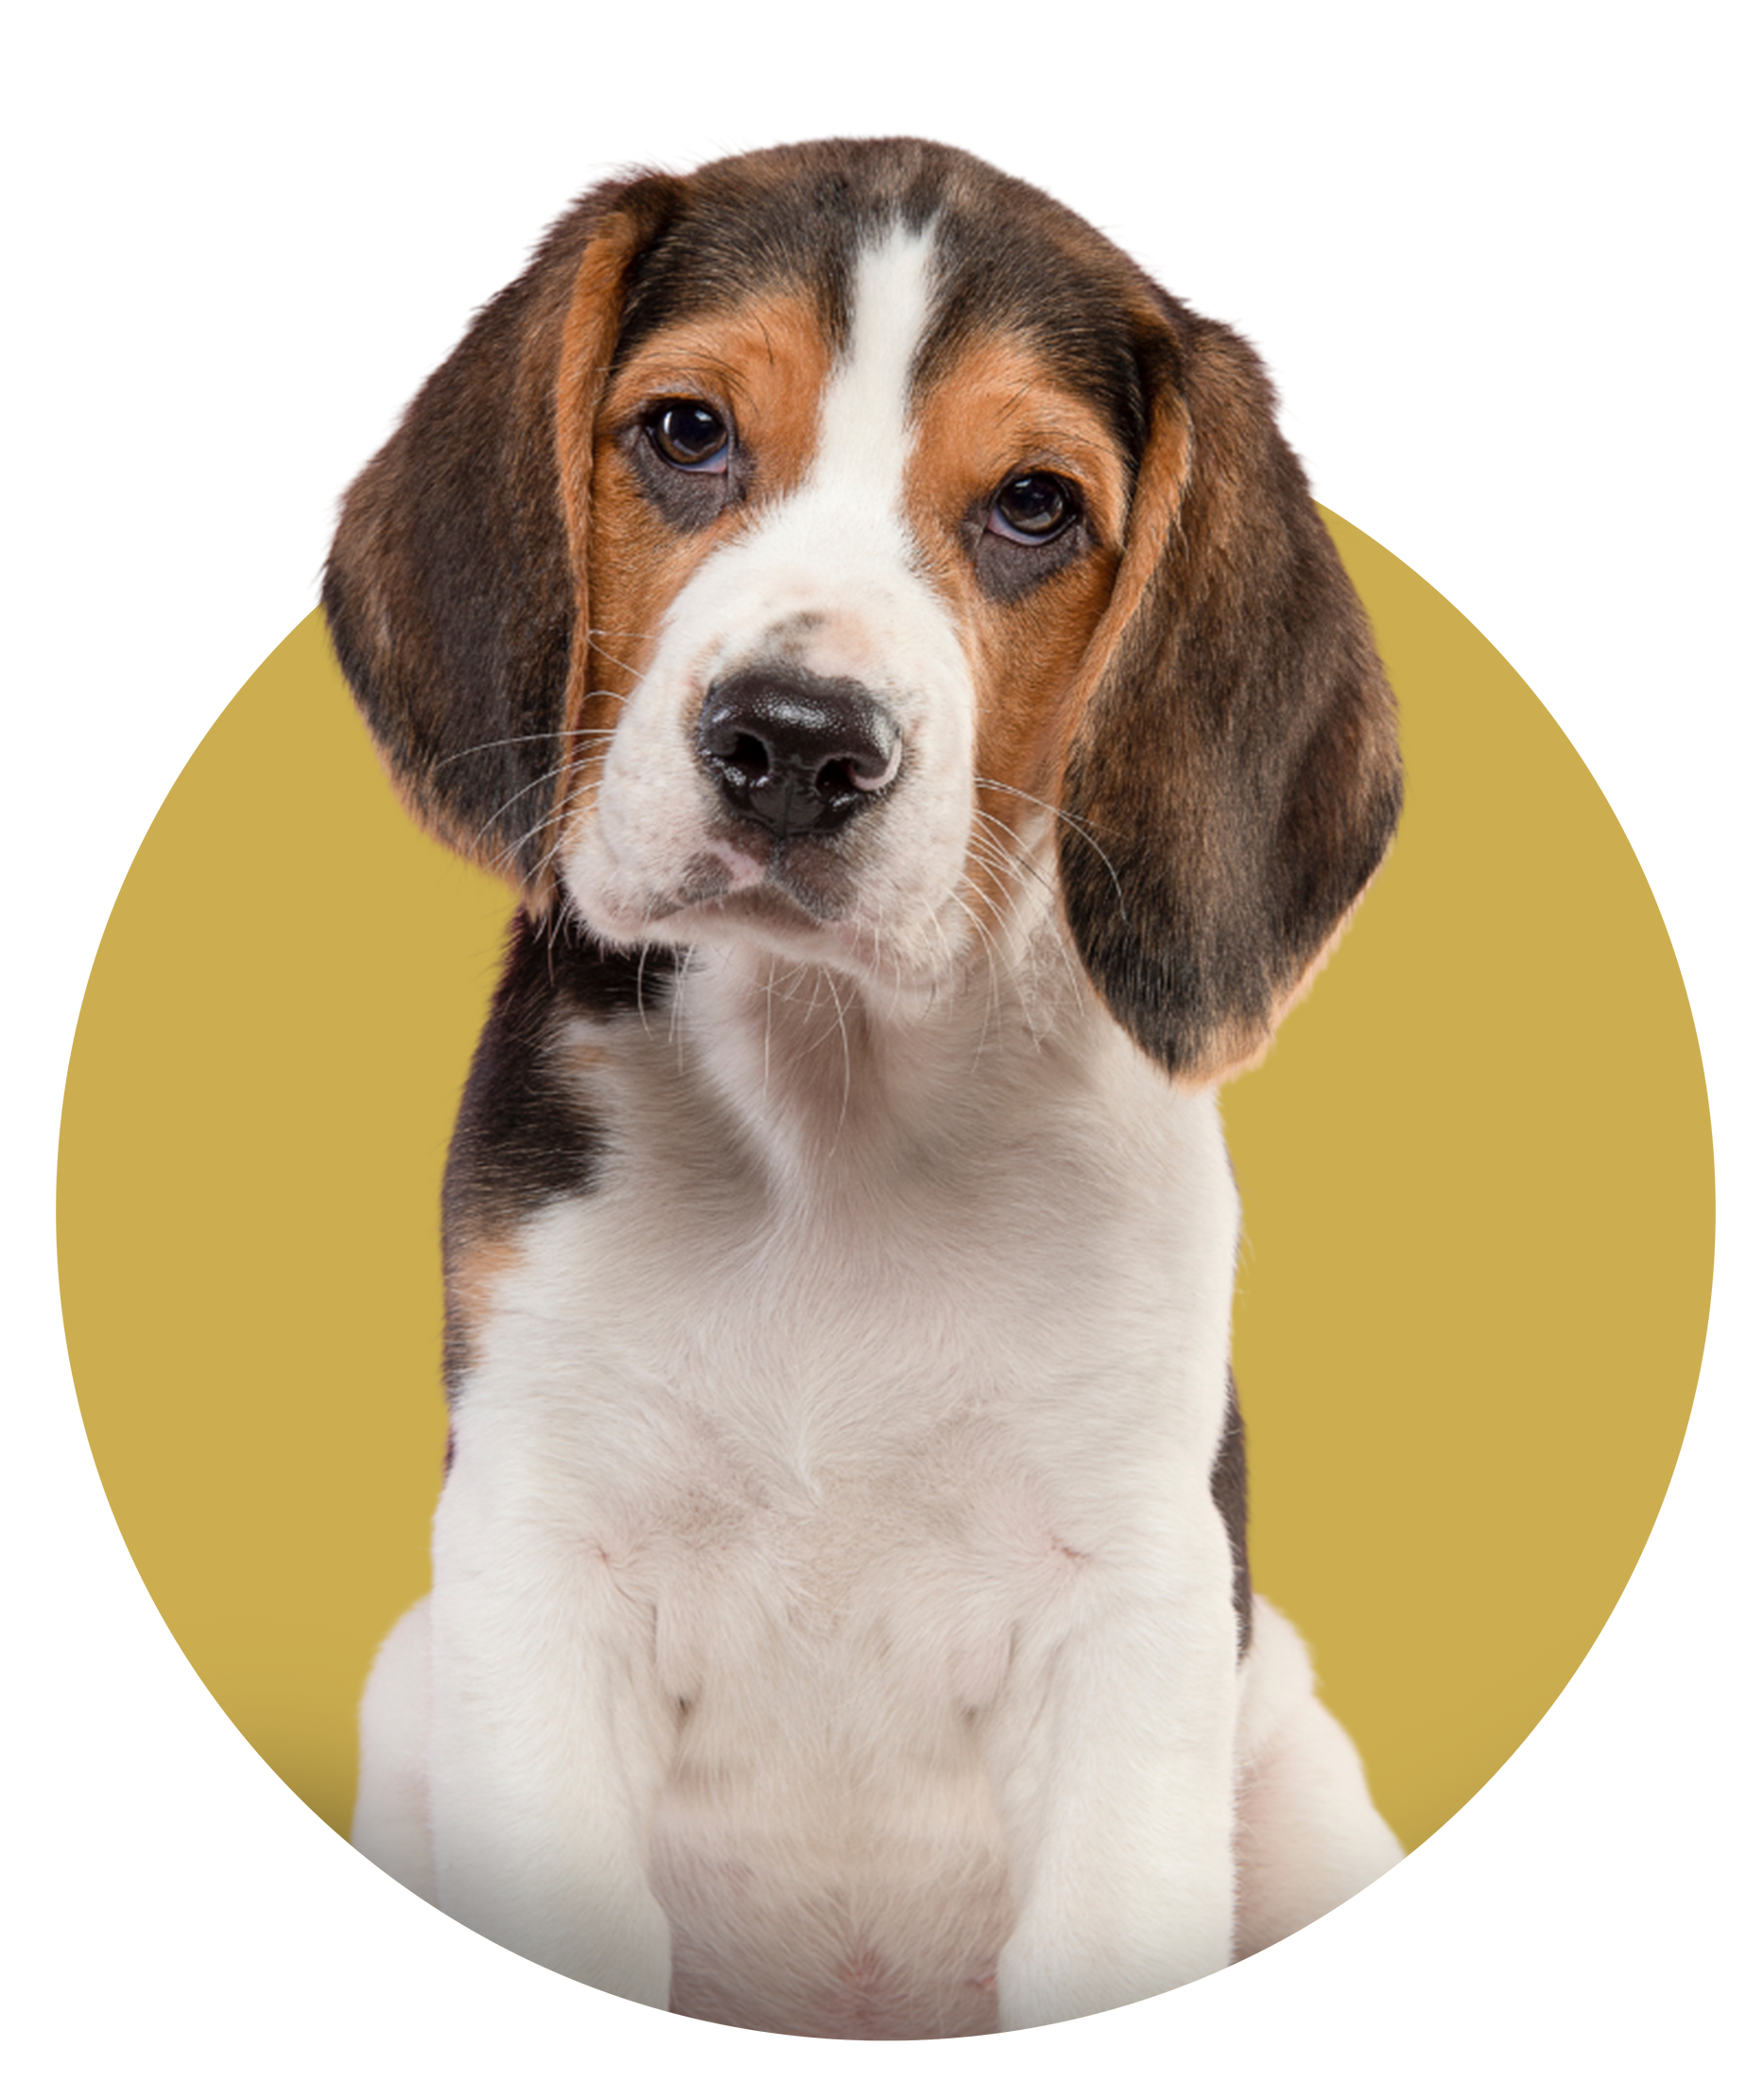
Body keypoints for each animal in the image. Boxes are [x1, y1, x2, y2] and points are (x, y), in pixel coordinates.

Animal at [324, 130, 1408, 2032]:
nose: (797, 744)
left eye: (1034, 506)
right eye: (685, 431)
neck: (834, 1118)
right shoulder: (535, 1566)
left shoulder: (1131, 1605)